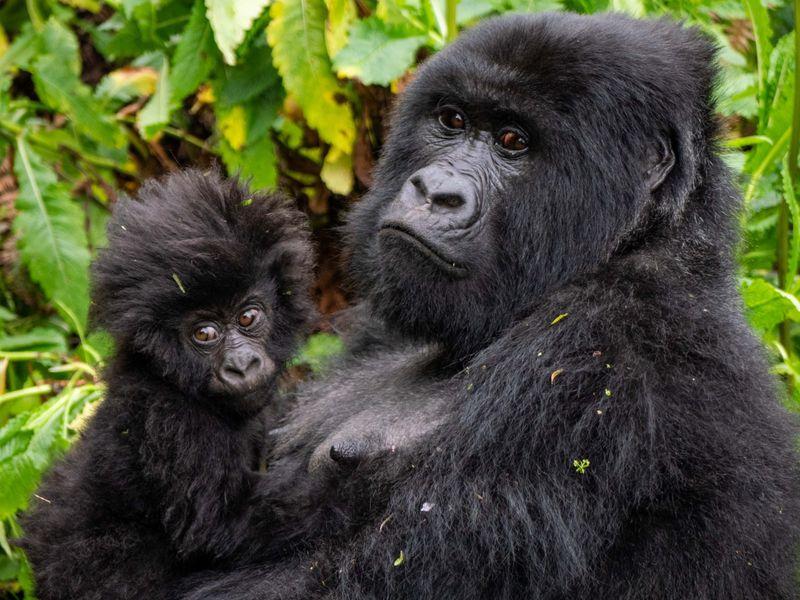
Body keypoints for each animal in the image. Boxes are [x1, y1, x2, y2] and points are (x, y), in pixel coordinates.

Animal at [18, 169, 312, 600]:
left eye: (247, 317)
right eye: (204, 333)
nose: (242, 365)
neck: (169, 378)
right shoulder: (173, 422)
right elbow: (220, 528)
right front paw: (354, 482)